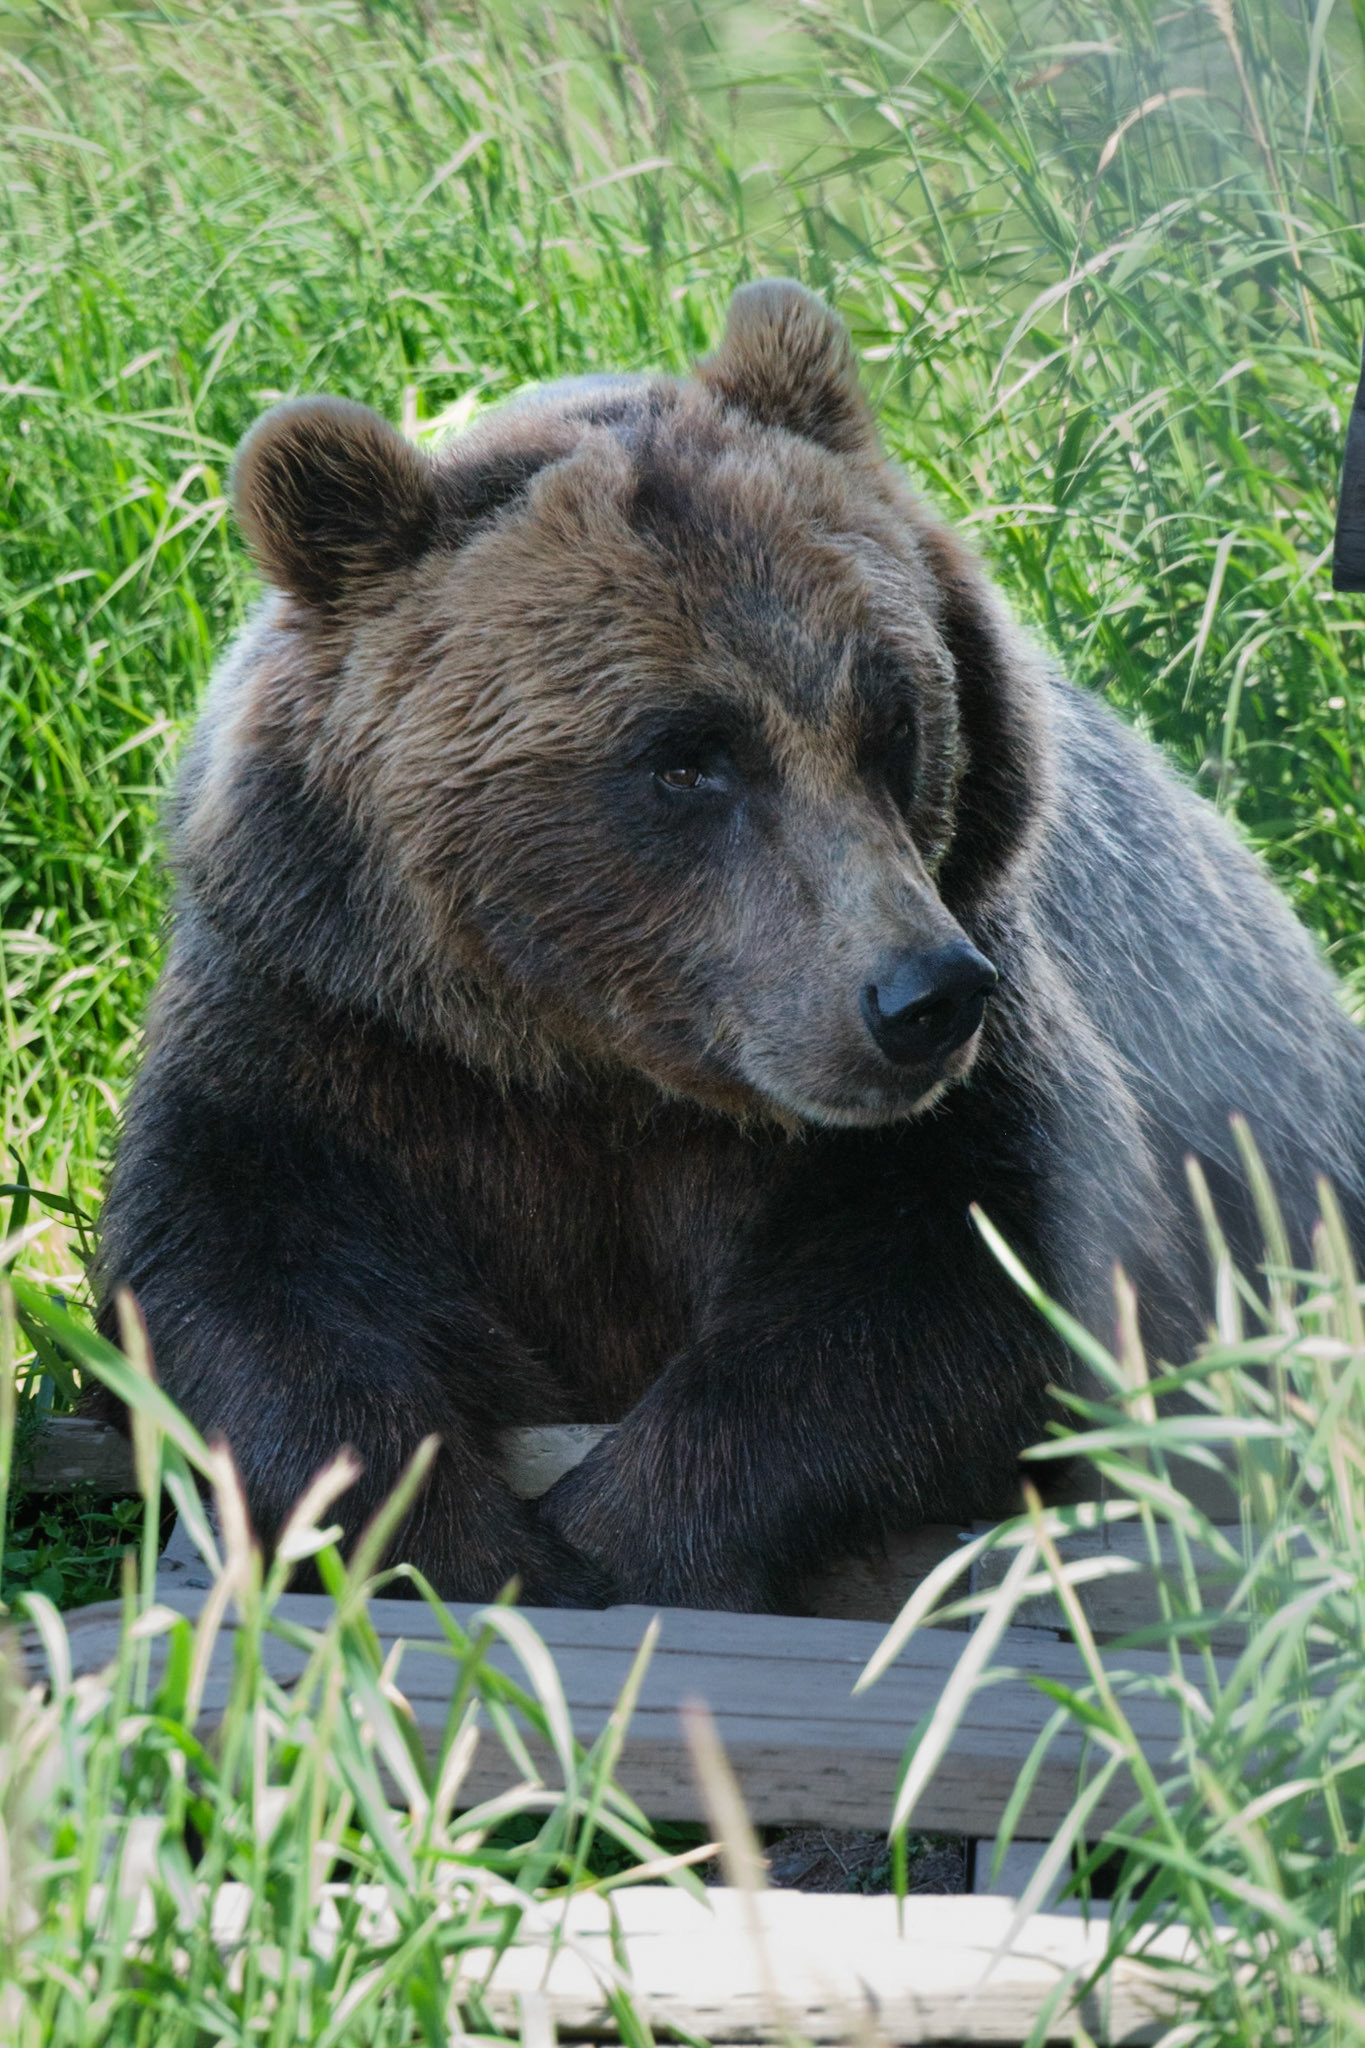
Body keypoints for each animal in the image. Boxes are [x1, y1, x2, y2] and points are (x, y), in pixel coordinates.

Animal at [96, 280, 1365, 1612]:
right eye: (685, 757)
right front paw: (449, 1541)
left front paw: (628, 1533)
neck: (595, 1057)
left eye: (897, 721)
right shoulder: (336, 1023)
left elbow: (971, 1270)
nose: (921, 998)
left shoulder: (995, 1013)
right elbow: (242, 1271)